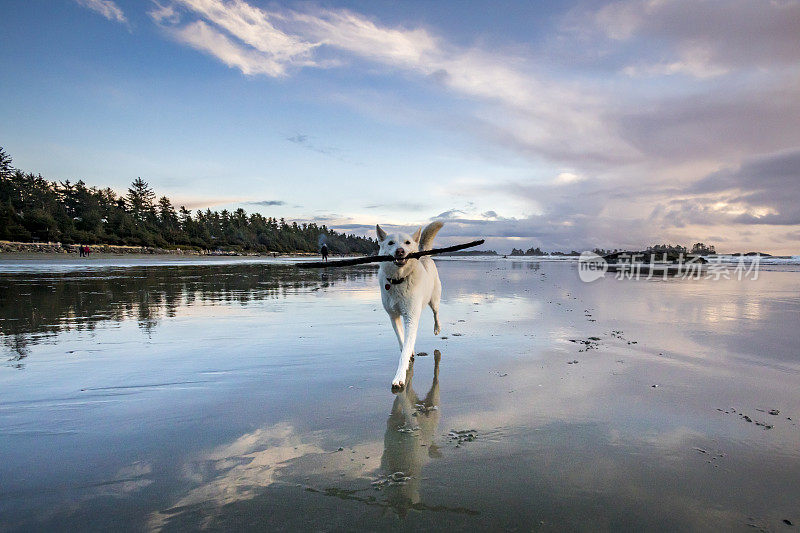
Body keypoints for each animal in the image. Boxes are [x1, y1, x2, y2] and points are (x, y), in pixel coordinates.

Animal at [376, 218, 444, 388]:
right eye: (391, 243)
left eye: (407, 242)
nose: (400, 251)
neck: (399, 279)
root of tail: (424, 255)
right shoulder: (394, 316)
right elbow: (402, 340)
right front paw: (409, 351)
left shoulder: (411, 317)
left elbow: (405, 348)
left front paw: (399, 376)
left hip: (434, 299)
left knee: (436, 313)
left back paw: (437, 328)